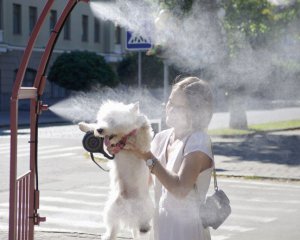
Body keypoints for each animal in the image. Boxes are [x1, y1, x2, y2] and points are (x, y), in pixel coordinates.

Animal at [78, 100, 154, 239]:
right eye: (101, 120)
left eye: (112, 120)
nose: (100, 130)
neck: (123, 138)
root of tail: (129, 212)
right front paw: (84, 125)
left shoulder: (141, 139)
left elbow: (143, 130)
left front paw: (143, 129)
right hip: (112, 210)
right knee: (113, 228)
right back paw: (107, 236)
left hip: (144, 212)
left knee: (143, 228)